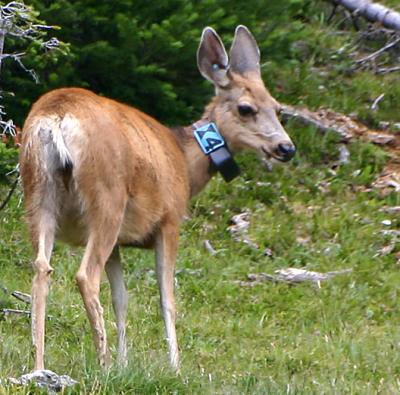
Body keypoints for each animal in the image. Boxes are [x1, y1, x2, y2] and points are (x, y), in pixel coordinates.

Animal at [19, 26, 294, 372]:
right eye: (246, 108)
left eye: (278, 108)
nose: (287, 148)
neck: (186, 161)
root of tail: (56, 116)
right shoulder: (170, 220)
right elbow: (167, 298)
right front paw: (174, 366)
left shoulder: (120, 243)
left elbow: (121, 298)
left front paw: (125, 362)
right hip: (106, 198)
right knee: (85, 276)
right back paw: (102, 364)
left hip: (38, 192)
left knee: (41, 269)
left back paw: (39, 365)